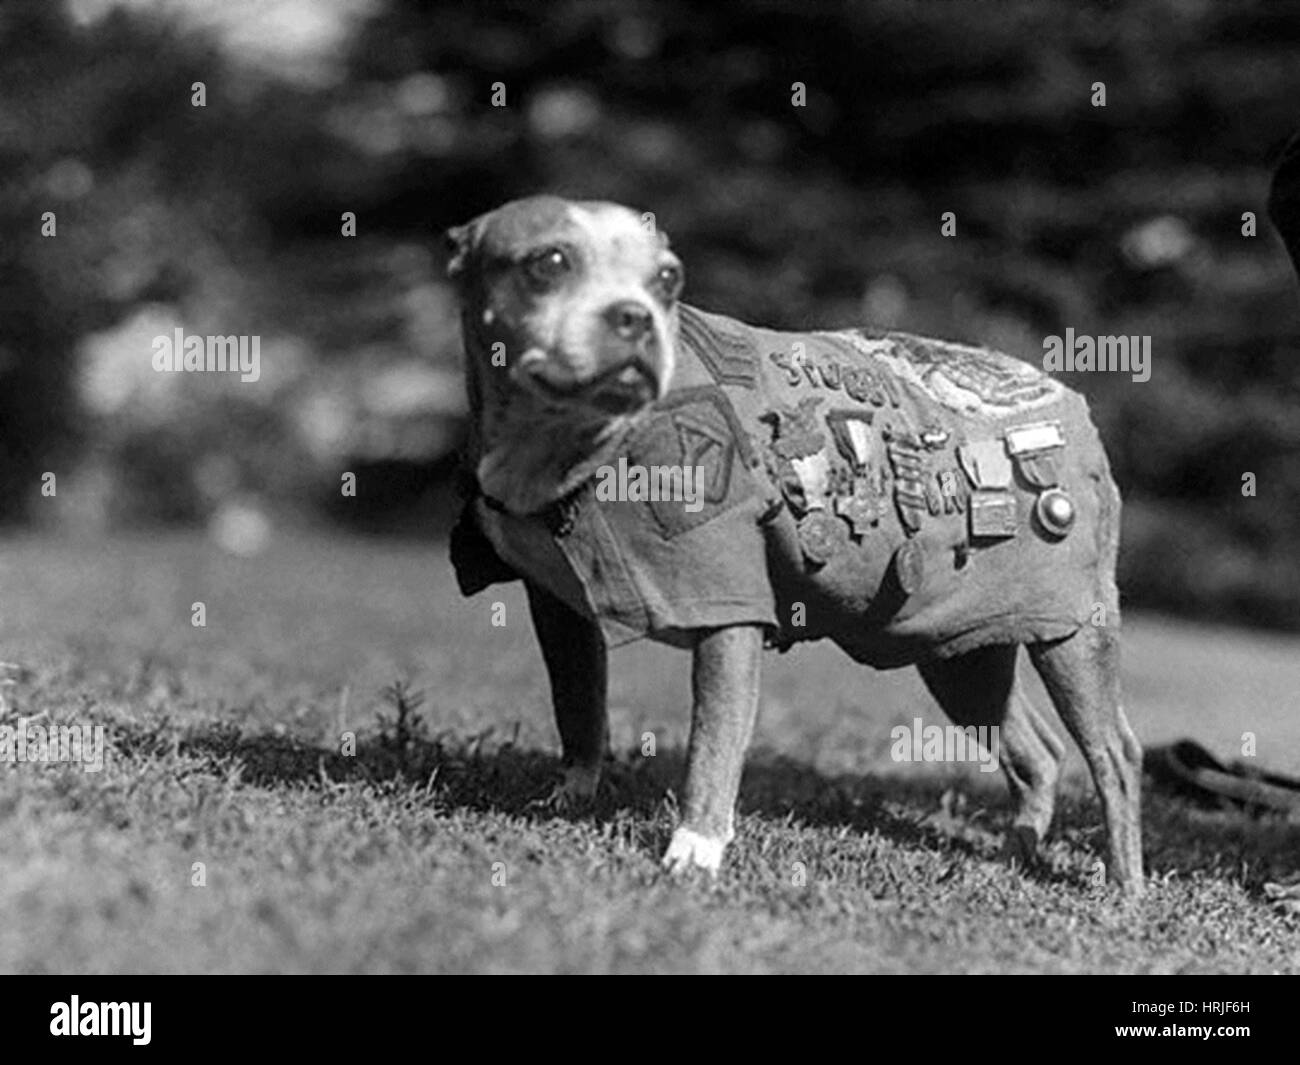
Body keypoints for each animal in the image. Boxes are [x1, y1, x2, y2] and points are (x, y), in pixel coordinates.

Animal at [449, 196, 1149, 894]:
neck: (568, 446)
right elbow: (579, 709)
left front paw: (695, 850)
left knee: (1114, 753)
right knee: (1037, 752)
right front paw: (568, 798)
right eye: (549, 262)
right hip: (959, 650)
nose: (635, 314)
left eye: (669, 279)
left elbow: (713, 743)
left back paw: (1123, 884)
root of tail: (1071, 403)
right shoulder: (559, 611)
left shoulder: (728, 614)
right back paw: (1018, 853)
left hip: (1072, 635)